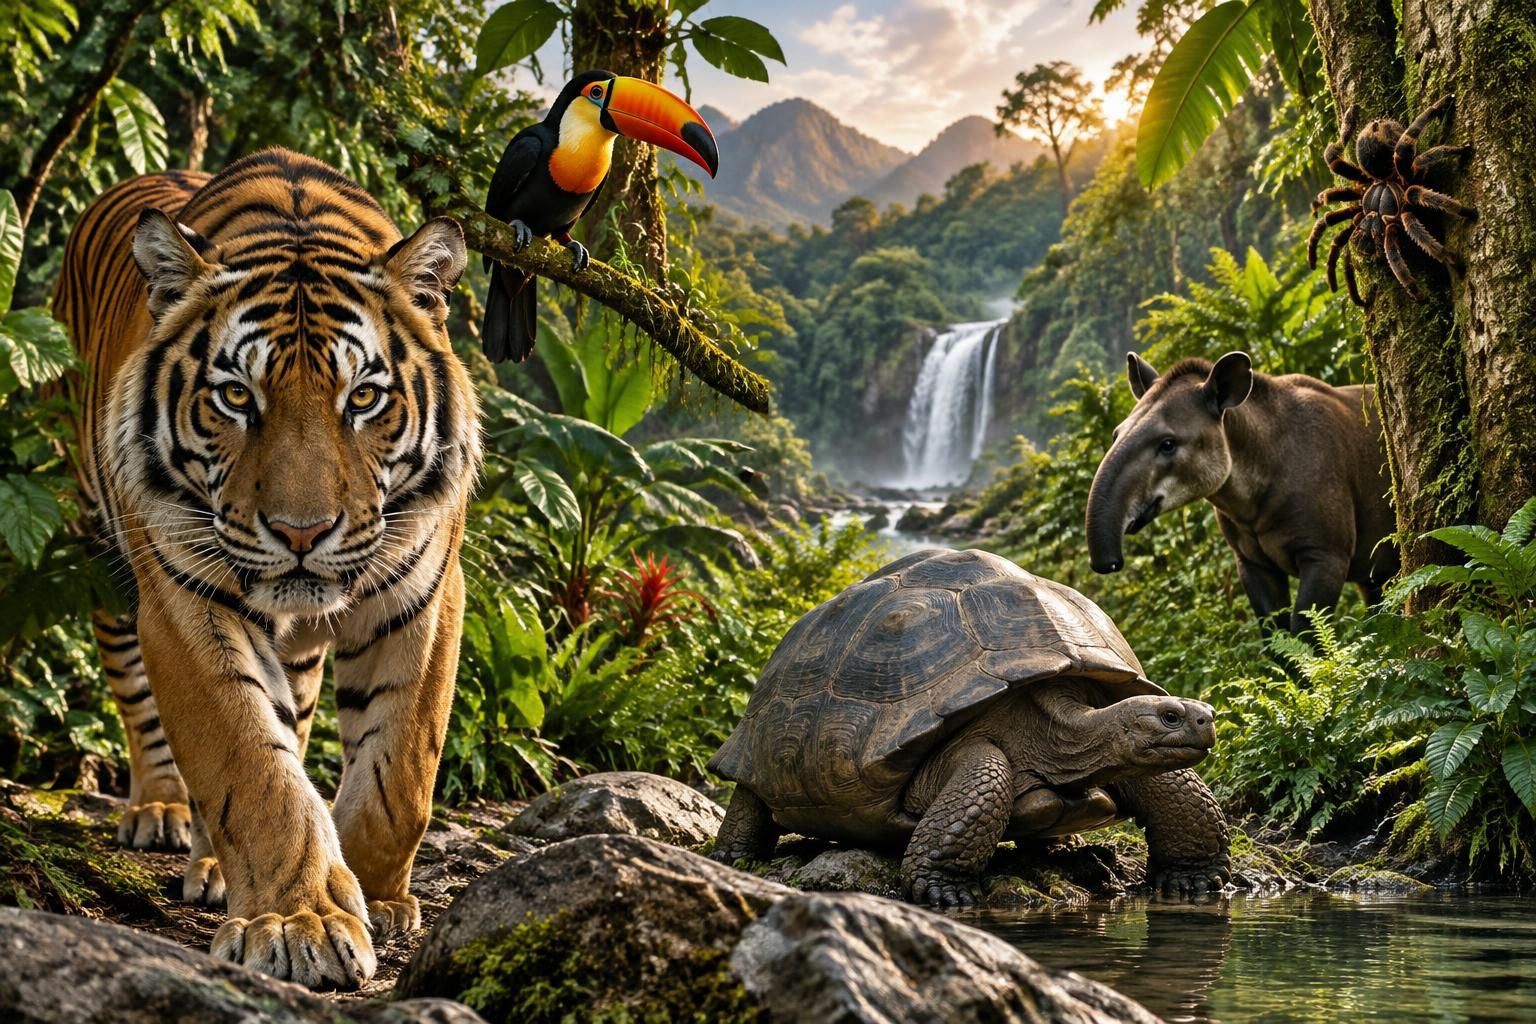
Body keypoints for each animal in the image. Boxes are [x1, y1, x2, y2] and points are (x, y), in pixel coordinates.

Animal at [52, 148, 480, 988]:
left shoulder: (424, 592)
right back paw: (161, 810)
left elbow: (400, 773)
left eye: (364, 397)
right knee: (137, 693)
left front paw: (377, 896)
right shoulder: (186, 599)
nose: (300, 532)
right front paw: (299, 921)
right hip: (101, 550)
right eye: (234, 396)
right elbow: (252, 764)